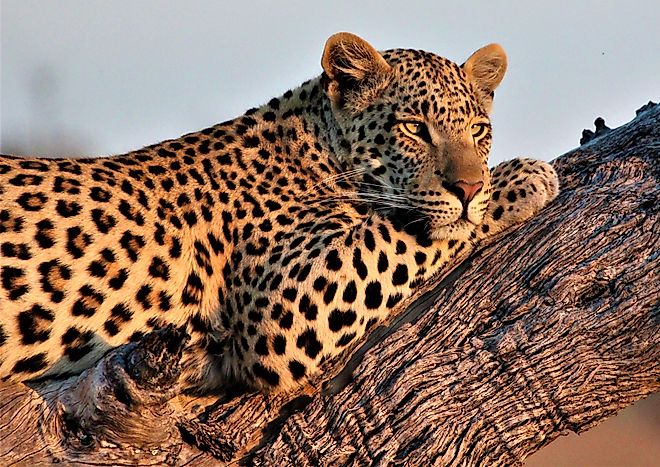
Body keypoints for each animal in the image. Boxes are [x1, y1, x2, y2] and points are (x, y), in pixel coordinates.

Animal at [0, 32, 558, 393]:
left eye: (479, 131)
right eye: (414, 129)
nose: (469, 185)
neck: (314, 147)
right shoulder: (281, 304)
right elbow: (405, 229)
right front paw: (522, 178)